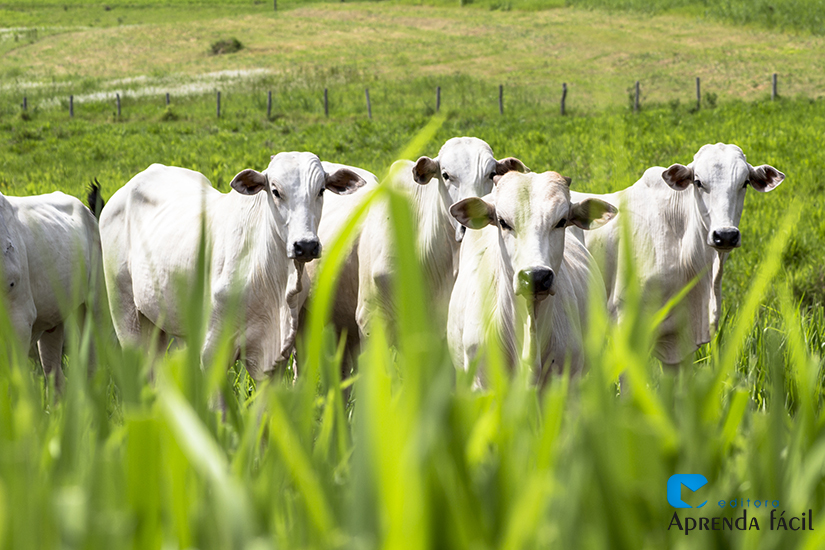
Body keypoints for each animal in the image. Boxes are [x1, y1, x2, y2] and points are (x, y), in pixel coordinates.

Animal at [100, 154, 364, 380]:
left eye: (321, 190)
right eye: (276, 191)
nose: (306, 246)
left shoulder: (272, 360)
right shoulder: (211, 354)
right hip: (125, 315)